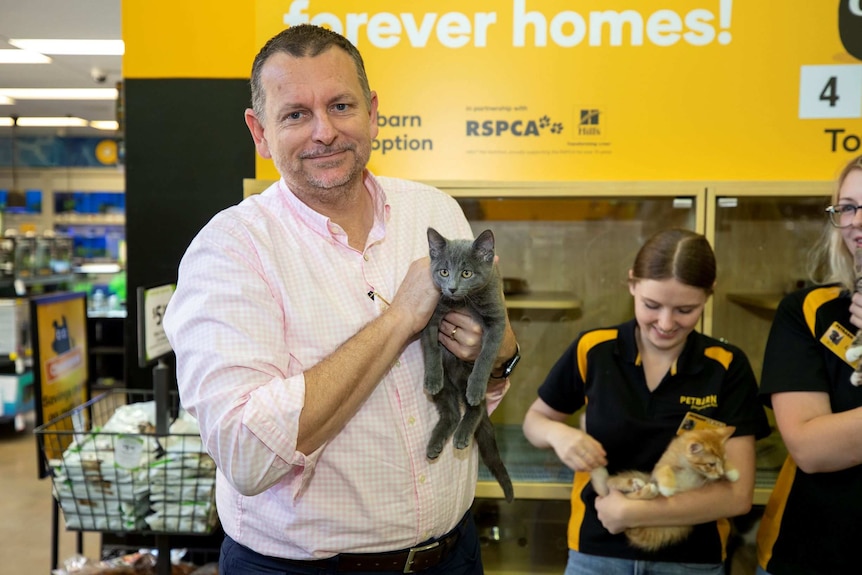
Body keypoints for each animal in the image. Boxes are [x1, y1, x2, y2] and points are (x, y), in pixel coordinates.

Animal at [424, 227, 516, 502]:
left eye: (467, 273)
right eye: (444, 271)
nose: (452, 288)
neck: (464, 302)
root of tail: (455, 386)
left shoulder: (496, 321)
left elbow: (485, 358)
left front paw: (475, 388)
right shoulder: (432, 318)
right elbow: (432, 348)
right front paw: (432, 377)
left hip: (466, 379)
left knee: (477, 408)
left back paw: (464, 431)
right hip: (447, 388)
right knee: (452, 413)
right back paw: (436, 443)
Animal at [592, 428, 740, 552]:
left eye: (723, 461)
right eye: (711, 464)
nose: (720, 474)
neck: (689, 468)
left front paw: (732, 472)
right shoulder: (660, 467)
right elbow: (664, 469)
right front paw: (667, 487)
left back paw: (638, 485)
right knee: (613, 485)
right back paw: (640, 486)